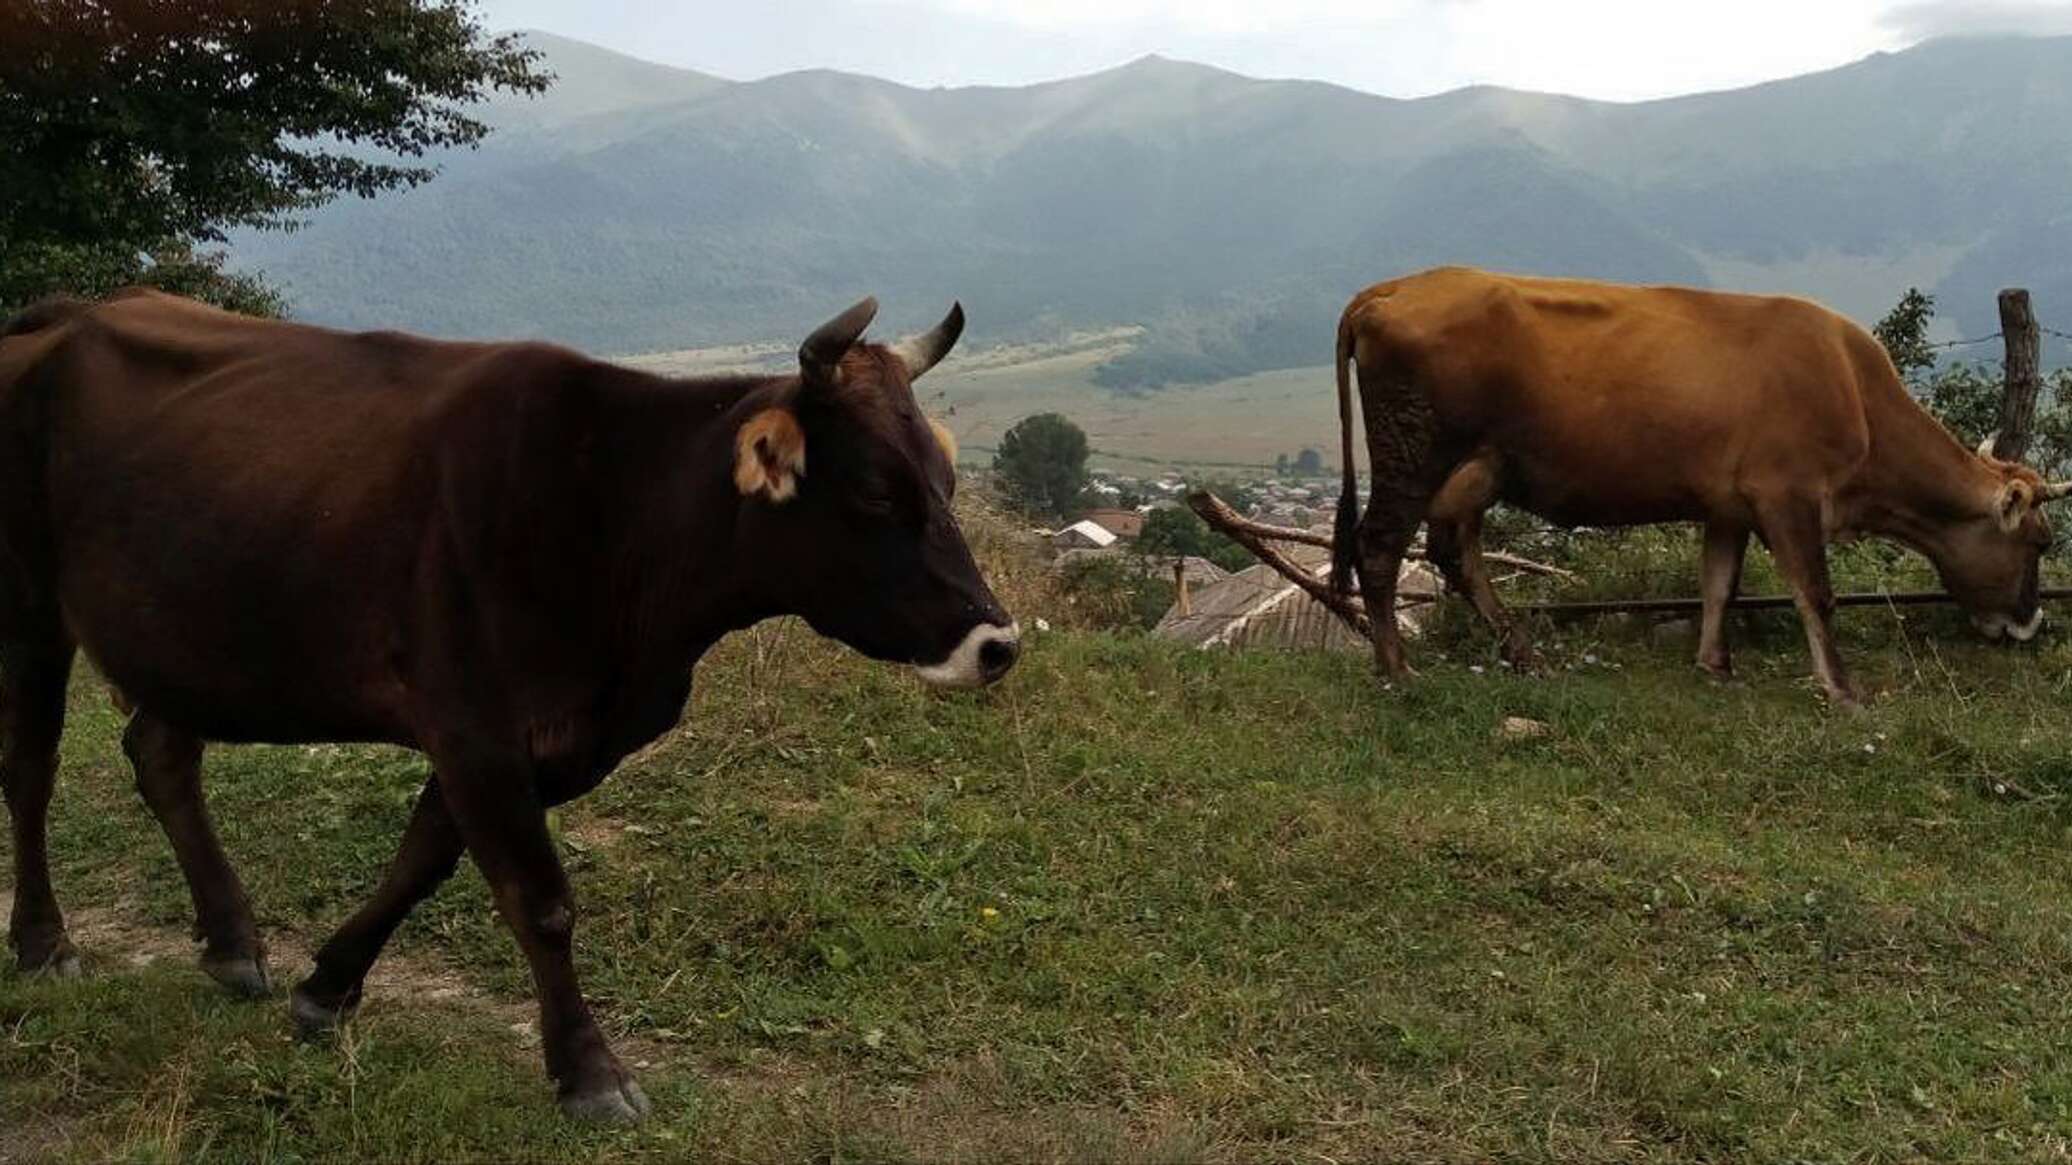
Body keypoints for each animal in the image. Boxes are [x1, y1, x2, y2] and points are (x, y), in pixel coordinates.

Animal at [0, 288, 1019, 1119]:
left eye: (946, 480)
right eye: (876, 492)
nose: (998, 643)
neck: (619, 518)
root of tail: (65, 312)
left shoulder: (538, 741)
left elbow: (421, 861)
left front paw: (326, 987)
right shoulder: (475, 725)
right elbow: (540, 898)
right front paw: (591, 1072)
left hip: (192, 631)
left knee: (160, 752)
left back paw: (231, 941)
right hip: (35, 603)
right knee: (33, 768)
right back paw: (46, 943)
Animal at [1334, 267, 2063, 704]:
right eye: (2040, 542)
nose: (2031, 622)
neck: (1854, 390)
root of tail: (1393, 288)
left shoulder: (1729, 505)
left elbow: (1719, 583)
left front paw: (1714, 663)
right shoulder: (1789, 494)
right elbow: (1816, 593)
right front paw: (1841, 689)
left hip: (1477, 467)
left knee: (1455, 551)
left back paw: (1523, 653)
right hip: (1414, 454)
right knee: (1380, 547)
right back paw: (1397, 668)